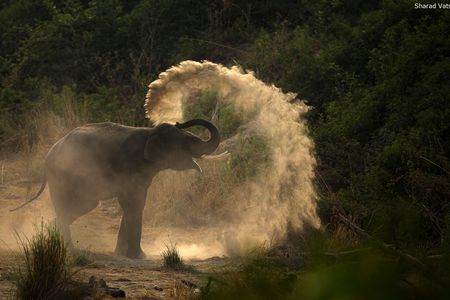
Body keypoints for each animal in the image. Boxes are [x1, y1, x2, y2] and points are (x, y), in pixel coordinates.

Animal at [9, 119, 221, 258]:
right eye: (189, 141)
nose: (180, 121)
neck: (149, 132)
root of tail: (49, 153)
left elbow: (135, 204)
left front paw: (123, 254)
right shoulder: (131, 167)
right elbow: (133, 203)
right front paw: (138, 257)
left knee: (79, 206)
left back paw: (52, 236)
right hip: (62, 175)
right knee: (76, 205)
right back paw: (67, 247)